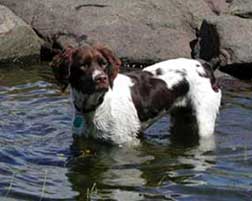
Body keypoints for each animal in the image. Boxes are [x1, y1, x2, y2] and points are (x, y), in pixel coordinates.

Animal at [50, 43, 220, 146]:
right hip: (181, 118)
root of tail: (205, 65)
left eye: (103, 63)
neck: (96, 105)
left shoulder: (126, 142)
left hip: (204, 120)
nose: (101, 79)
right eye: (83, 66)